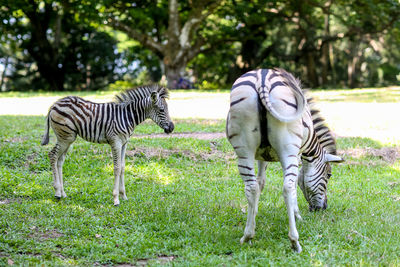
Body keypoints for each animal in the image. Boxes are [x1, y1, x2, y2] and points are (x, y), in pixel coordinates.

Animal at [41, 85, 174, 206]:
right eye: (161, 110)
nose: (172, 128)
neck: (127, 116)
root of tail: (55, 104)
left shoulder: (124, 143)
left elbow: (123, 167)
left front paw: (124, 196)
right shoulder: (116, 142)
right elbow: (117, 168)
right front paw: (116, 199)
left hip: (68, 138)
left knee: (59, 161)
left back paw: (63, 193)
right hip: (65, 137)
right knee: (52, 155)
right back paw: (57, 192)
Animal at [227, 68, 342, 253]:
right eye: (329, 175)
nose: (322, 208)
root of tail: (262, 78)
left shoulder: (261, 155)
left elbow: (260, 182)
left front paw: (254, 212)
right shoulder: (297, 153)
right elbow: (294, 186)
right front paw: (297, 215)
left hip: (244, 150)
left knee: (251, 187)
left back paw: (248, 236)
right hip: (288, 149)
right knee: (287, 187)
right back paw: (294, 241)